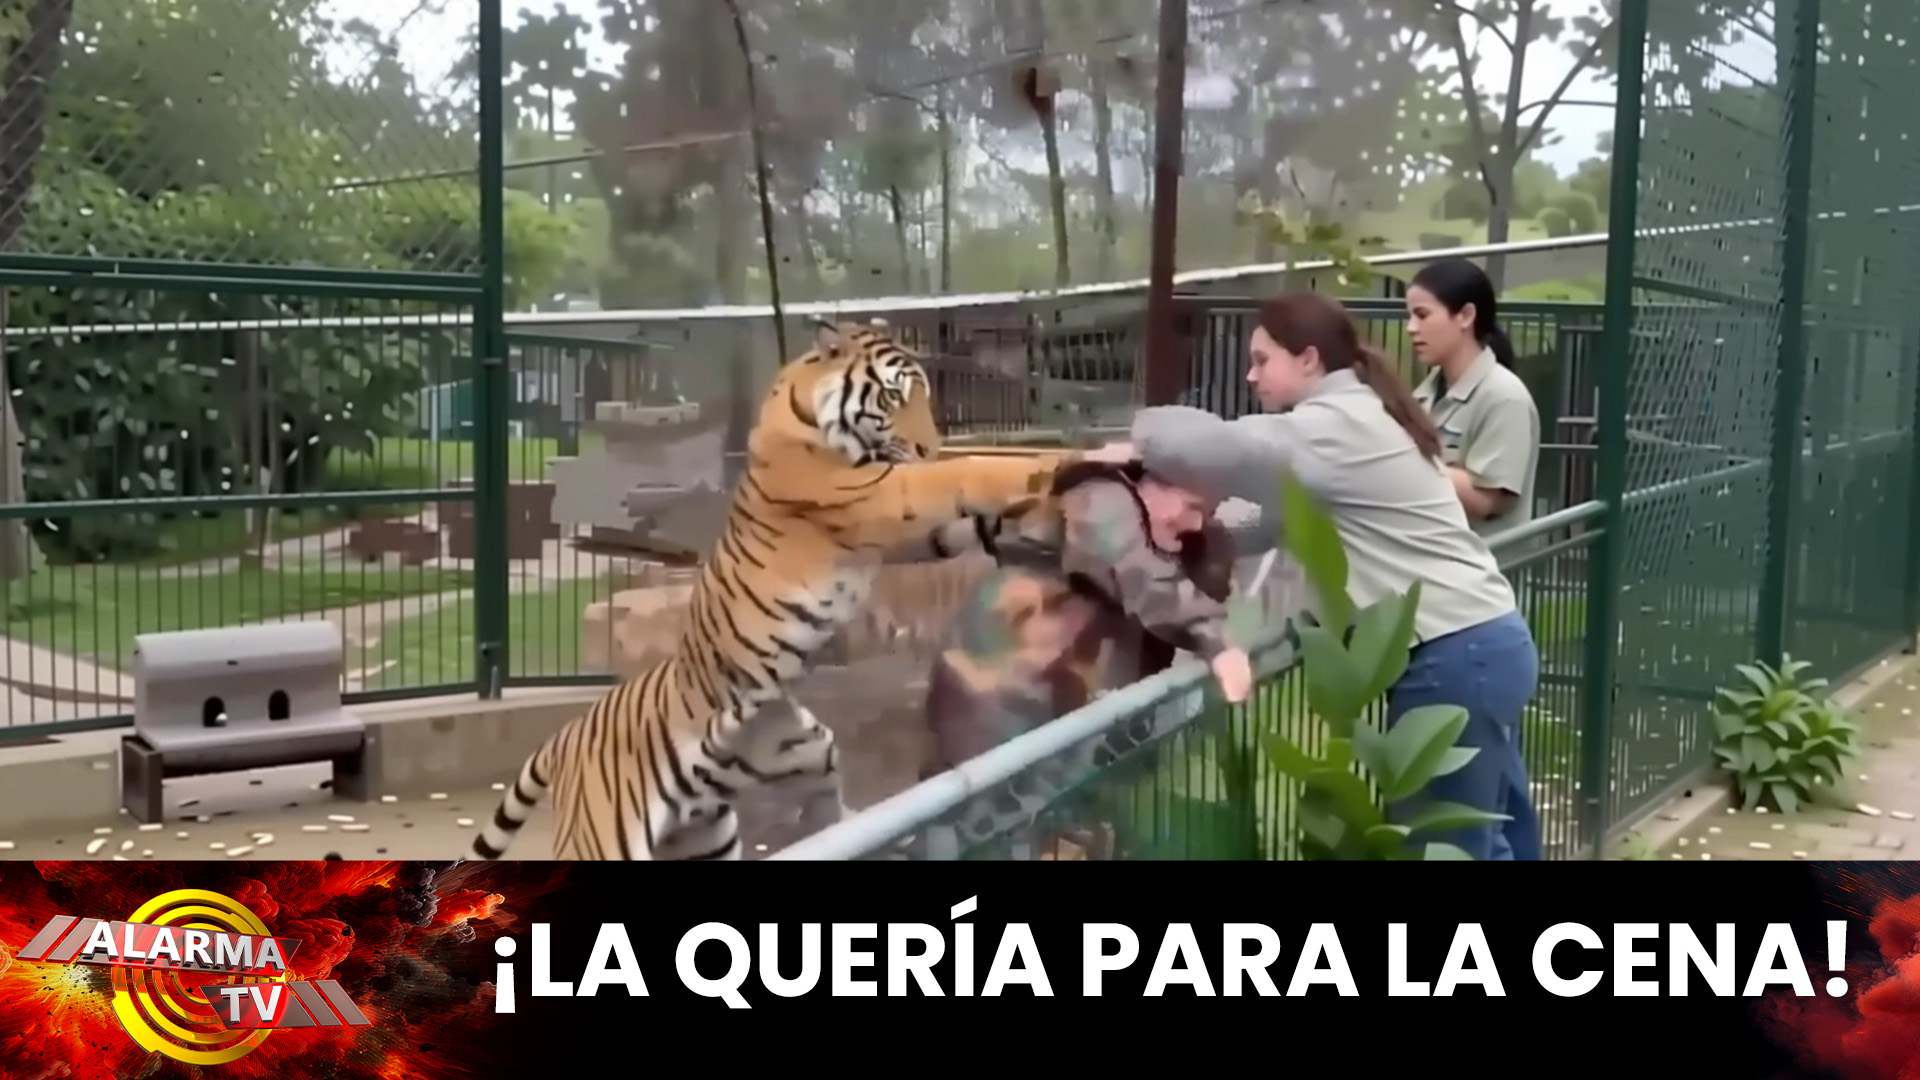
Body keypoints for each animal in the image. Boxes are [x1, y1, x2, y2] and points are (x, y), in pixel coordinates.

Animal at [467, 318, 1078, 862]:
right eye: (893, 397)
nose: (928, 447)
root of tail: (566, 735)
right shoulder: (879, 495)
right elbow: (962, 473)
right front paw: (1048, 464)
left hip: (764, 786)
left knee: (823, 805)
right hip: (601, 839)